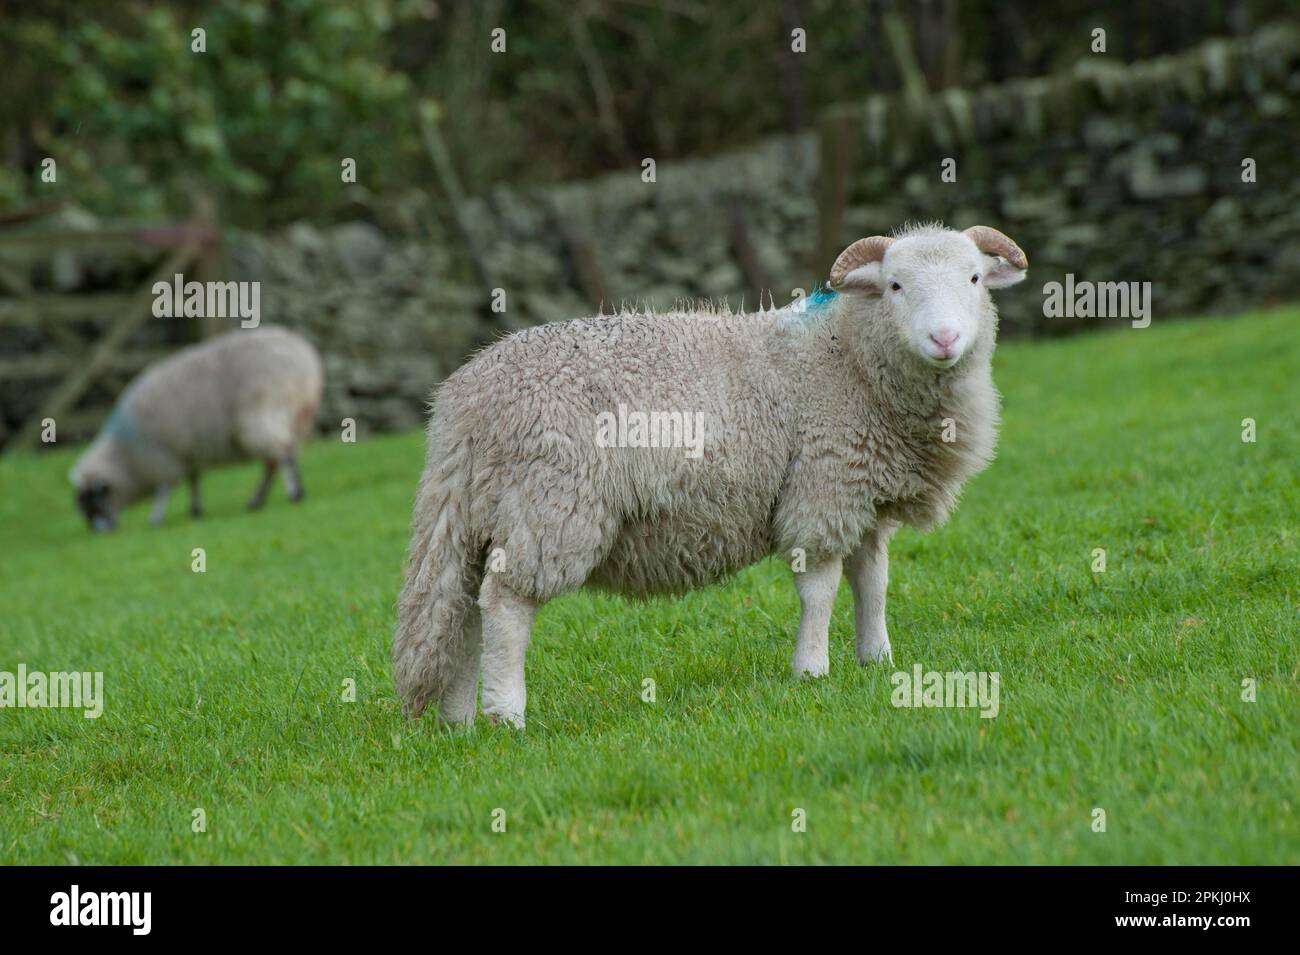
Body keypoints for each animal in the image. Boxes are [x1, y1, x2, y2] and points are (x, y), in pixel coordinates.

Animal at [70, 326, 323, 531]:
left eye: (93, 500)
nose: (98, 532)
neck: (124, 455)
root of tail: (303, 357)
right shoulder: (187, 452)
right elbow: (194, 479)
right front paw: (195, 509)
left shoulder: (161, 455)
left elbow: (165, 488)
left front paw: (155, 518)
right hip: (289, 418)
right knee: (274, 461)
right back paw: (259, 500)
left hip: (262, 415)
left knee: (282, 453)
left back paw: (294, 493)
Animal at [393, 223, 1027, 727]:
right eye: (895, 286)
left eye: (974, 278)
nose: (944, 339)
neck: (849, 357)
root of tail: (466, 399)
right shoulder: (822, 488)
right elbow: (820, 588)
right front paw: (812, 669)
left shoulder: (862, 493)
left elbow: (872, 581)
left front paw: (878, 659)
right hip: (552, 501)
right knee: (505, 604)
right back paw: (507, 714)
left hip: (480, 513)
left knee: (462, 610)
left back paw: (459, 720)